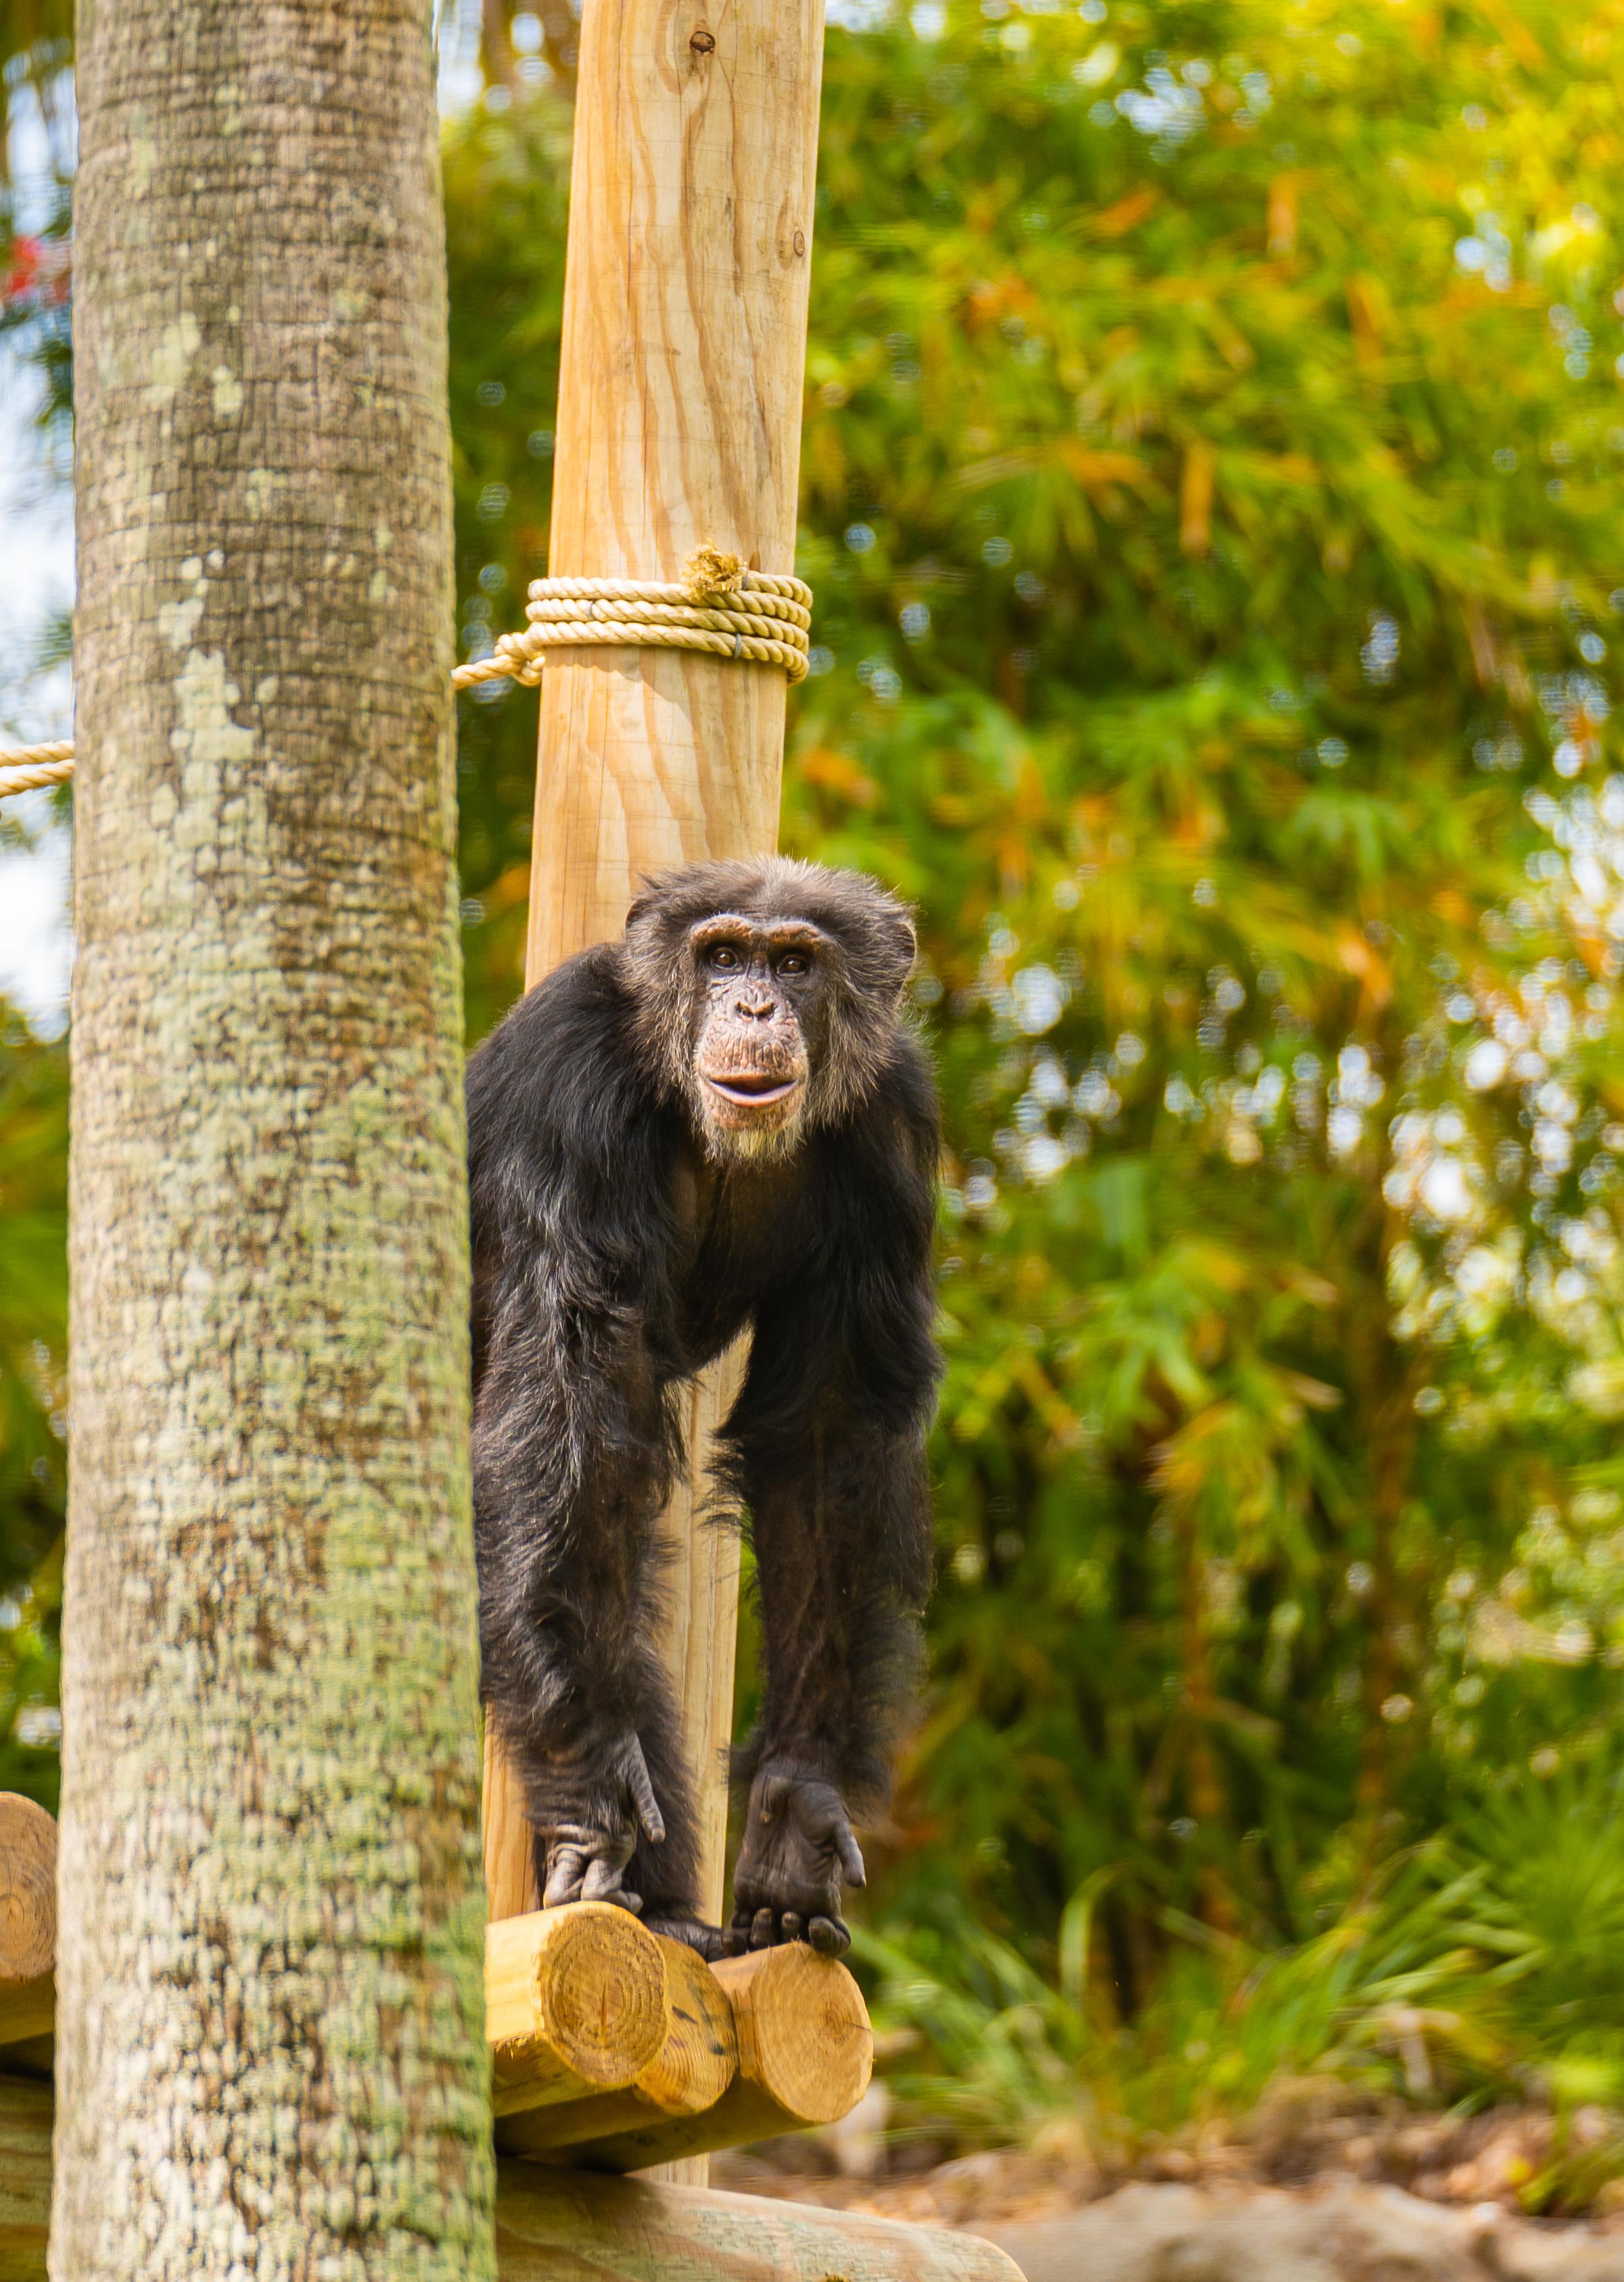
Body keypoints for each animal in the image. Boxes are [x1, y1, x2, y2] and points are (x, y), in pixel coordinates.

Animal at [465, 858, 939, 1962]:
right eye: (723, 953)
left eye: (796, 963)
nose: (755, 1003)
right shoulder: (566, 1086)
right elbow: (567, 1399)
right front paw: (587, 1771)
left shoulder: (890, 1129)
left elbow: (827, 1444)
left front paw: (795, 1805)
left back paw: (670, 1911)